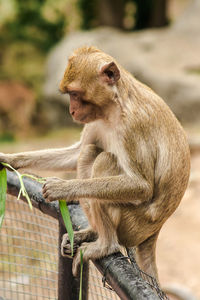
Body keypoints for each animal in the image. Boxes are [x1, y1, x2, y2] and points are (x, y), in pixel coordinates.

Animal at [0, 45, 191, 280]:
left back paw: (106, 245)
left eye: (75, 94)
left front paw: (62, 188)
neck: (114, 107)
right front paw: (9, 159)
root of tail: (154, 231)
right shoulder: (95, 120)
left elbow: (142, 186)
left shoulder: (134, 126)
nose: (72, 110)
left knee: (103, 160)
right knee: (88, 152)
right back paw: (92, 233)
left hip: (133, 224)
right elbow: (75, 155)